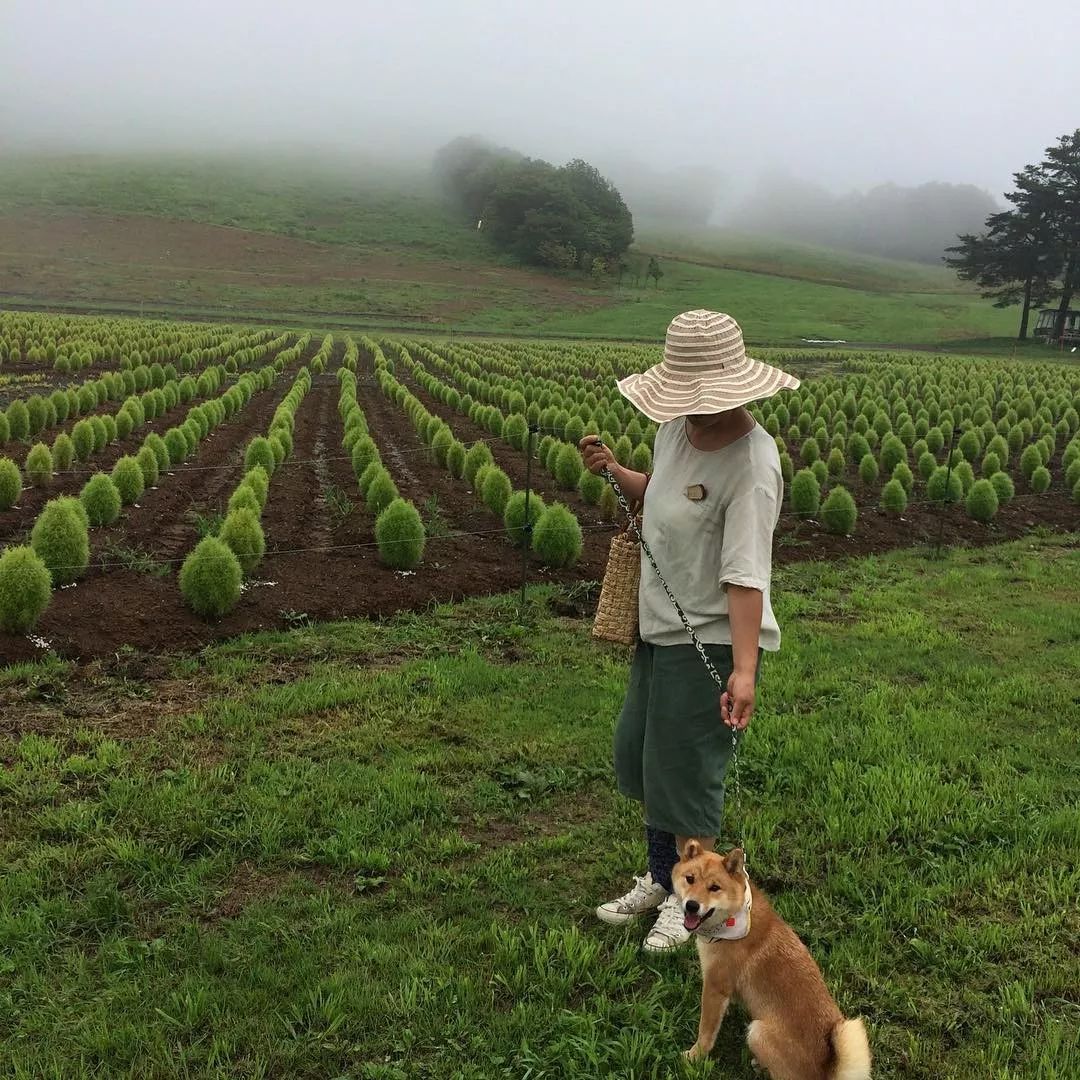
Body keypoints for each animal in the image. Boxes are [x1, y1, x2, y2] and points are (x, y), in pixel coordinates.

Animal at [673, 842, 868, 1080]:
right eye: (690, 878)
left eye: (714, 887)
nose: (691, 905)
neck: (733, 920)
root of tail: (825, 1071)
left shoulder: (715, 986)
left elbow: (706, 1030)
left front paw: (695, 1056)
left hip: (757, 1032)